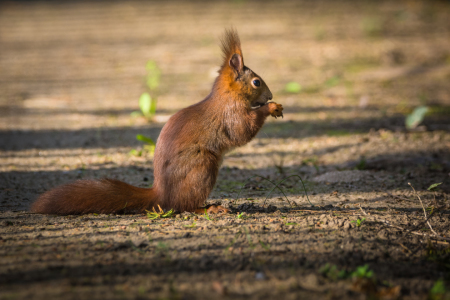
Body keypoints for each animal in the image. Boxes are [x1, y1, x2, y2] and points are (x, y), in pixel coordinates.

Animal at [31, 28, 284, 216]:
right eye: (256, 82)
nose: (271, 95)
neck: (228, 95)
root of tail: (162, 195)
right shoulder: (230, 114)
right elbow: (243, 131)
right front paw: (271, 108)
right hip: (202, 167)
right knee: (184, 206)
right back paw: (210, 208)